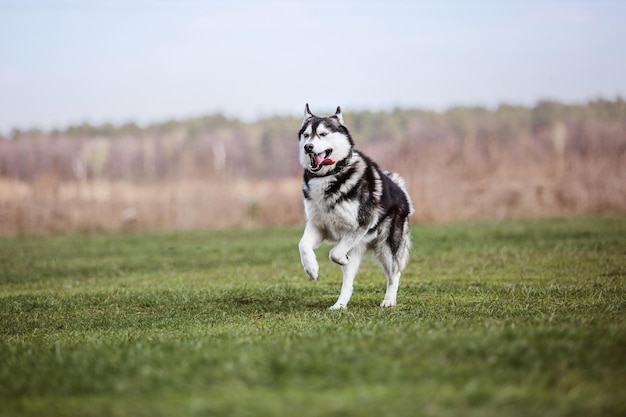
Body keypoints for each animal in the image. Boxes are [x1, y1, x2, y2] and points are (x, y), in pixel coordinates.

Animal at [296, 102, 412, 308]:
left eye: (323, 134)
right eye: (307, 135)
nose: (308, 147)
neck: (328, 175)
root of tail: (400, 189)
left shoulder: (361, 224)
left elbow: (334, 253)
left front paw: (340, 258)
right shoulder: (318, 226)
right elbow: (303, 245)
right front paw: (312, 269)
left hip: (387, 247)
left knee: (394, 274)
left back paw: (389, 300)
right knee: (348, 283)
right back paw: (340, 305)